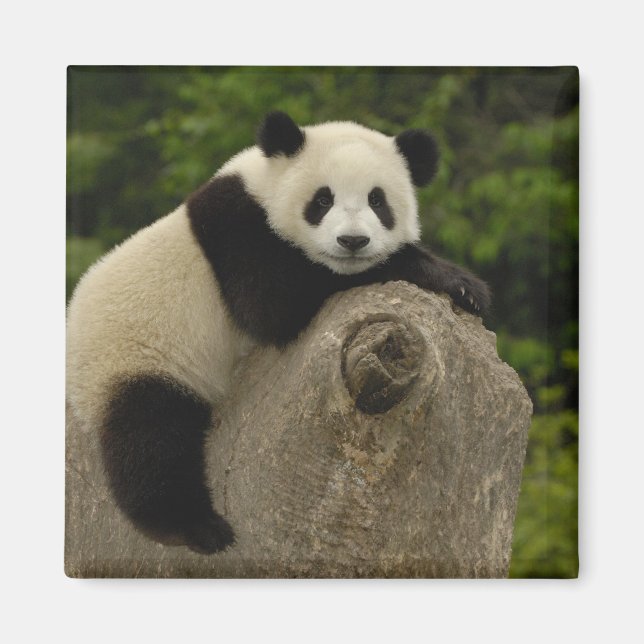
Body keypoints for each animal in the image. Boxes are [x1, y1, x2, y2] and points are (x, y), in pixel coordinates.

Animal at [66, 111, 490, 554]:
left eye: (378, 200)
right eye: (322, 200)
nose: (352, 241)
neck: (263, 185)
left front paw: (464, 289)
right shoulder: (239, 231)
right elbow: (275, 303)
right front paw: (452, 278)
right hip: (135, 358)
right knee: (151, 437)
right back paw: (196, 528)